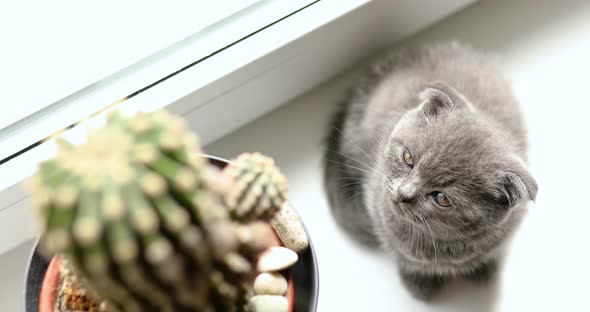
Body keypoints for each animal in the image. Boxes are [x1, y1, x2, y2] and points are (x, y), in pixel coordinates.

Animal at [326, 42, 540, 300]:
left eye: (442, 198)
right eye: (408, 158)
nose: (403, 194)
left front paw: (485, 269)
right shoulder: (377, 211)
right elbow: (398, 252)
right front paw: (417, 281)